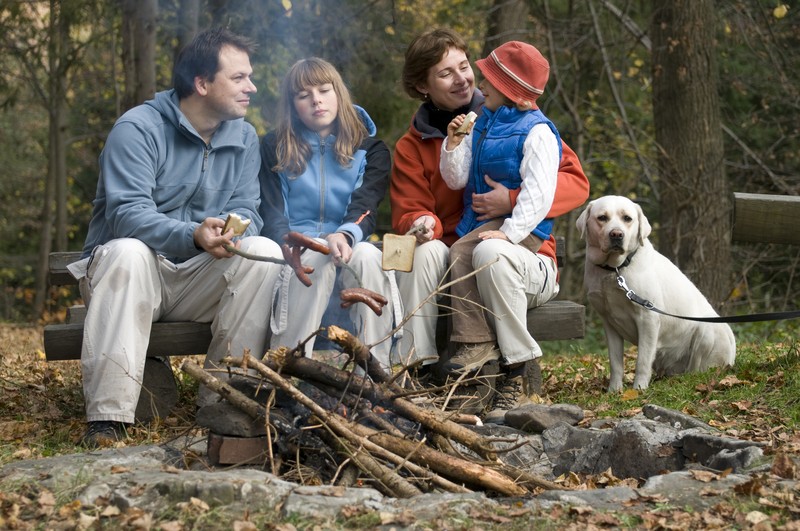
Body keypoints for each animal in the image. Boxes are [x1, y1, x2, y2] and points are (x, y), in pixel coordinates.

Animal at [576, 195, 736, 390]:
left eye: (627, 218)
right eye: (602, 218)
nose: (616, 234)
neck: (615, 270)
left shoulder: (648, 318)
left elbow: (642, 361)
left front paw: (638, 389)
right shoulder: (609, 323)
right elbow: (615, 362)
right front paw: (614, 390)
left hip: (706, 329)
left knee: (696, 368)